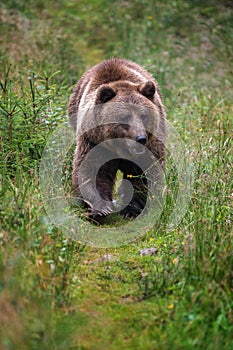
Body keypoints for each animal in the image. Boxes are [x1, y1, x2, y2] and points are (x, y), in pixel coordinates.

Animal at [67, 57, 166, 221]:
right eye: (124, 117)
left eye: (144, 115)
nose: (140, 138)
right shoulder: (94, 141)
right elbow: (92, 170)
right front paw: (100, 209)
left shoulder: (151, 144)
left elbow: (143, 171)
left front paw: (131, 209)